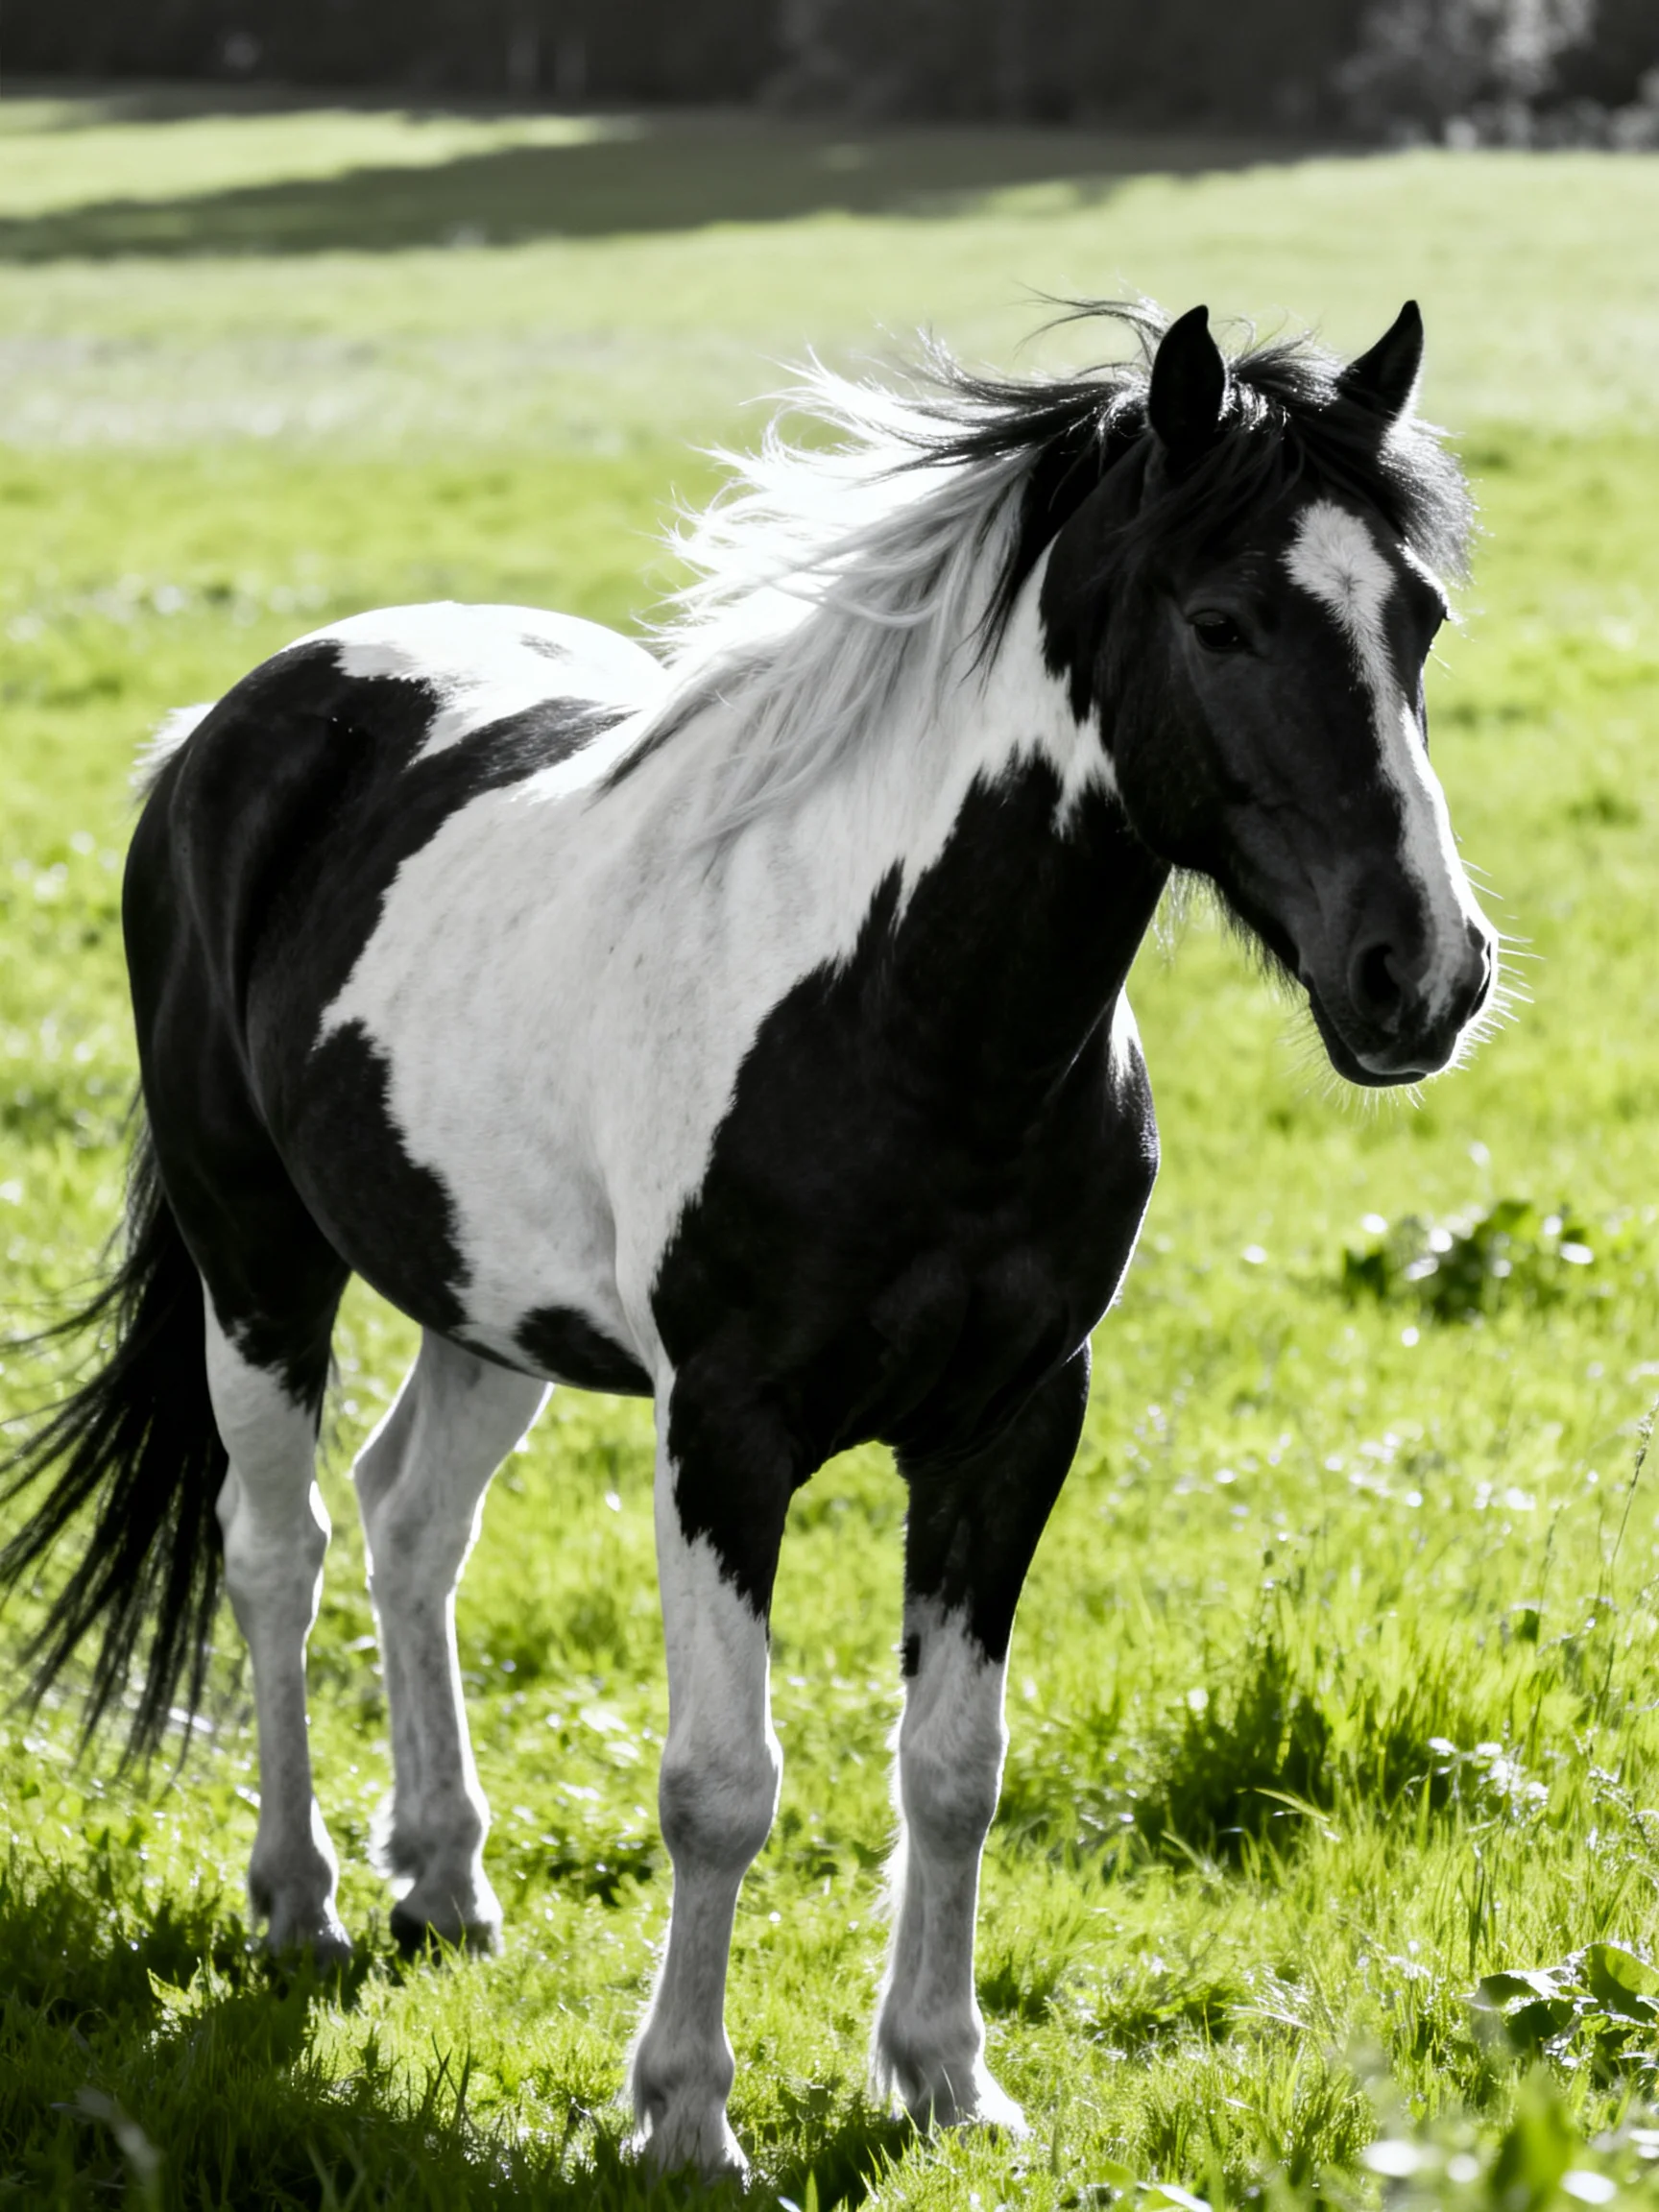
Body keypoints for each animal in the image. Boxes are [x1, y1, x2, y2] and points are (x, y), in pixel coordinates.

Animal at [1, 299, 1496, 2178]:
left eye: (1412, 614)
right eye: (1219, 619)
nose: (1421, 974)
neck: (906, 1015)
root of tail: (235, 721)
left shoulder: (1015, 1424)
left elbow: (956, 1762)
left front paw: (943, 2076)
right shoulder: (725, 1428)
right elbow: (719, 1784)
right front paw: (685, 2116)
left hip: (486, 1300)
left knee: (410, 1518)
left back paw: (446, 1880)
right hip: (256, 1258)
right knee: (279, 1550)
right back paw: (303, 1902)